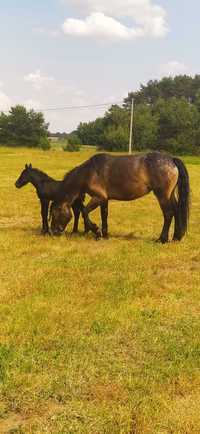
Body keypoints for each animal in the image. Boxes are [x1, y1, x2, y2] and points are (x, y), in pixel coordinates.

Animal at [49, 153, 190, 242]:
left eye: (55, 213)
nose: (54, 232)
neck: (89, 172)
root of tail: (171, 159)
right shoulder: (104, 199)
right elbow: (104, 215)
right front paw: (104, 235)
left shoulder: (98, 197)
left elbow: (85, 212)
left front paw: (96, 230)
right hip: (170, 195)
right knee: (176, 211)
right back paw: (176, 237)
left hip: (162, 195)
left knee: (168, 214)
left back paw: (162, 239)